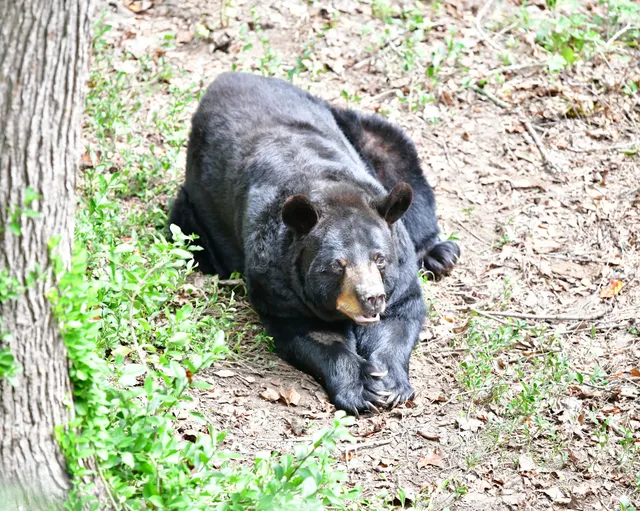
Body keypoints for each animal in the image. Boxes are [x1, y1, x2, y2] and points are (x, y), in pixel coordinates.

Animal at [169, 72, 459, 415]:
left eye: (380, 259)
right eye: (336, 265)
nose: (371, 298)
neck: (329, 188)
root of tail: (226, 77)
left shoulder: (398, 268)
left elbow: (400, 312)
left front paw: (390, 383)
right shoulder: (278, 280)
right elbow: (311, 334)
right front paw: (362, 388)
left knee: (396, 158)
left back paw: (440, 254)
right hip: (193, 208)